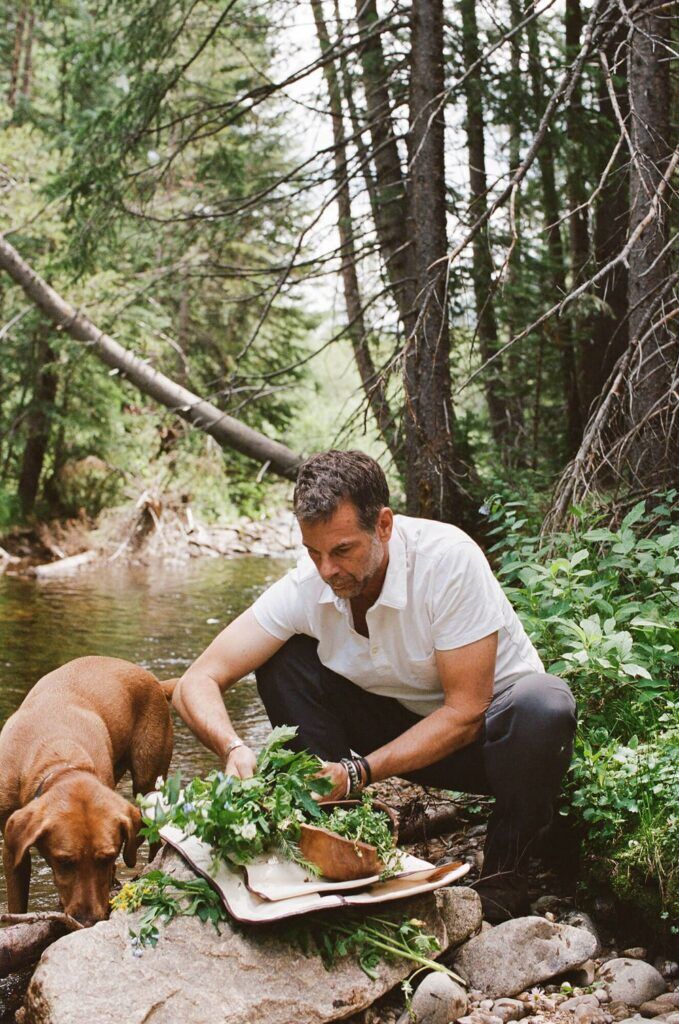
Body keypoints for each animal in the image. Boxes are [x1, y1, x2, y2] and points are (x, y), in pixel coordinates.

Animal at [0, 655, 175, 929]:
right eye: (64, 861)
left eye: (107, 857)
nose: (87, 921)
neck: (59, 757)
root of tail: (156, 681)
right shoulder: (11, 846)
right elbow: (16, 905)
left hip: (148, 779)